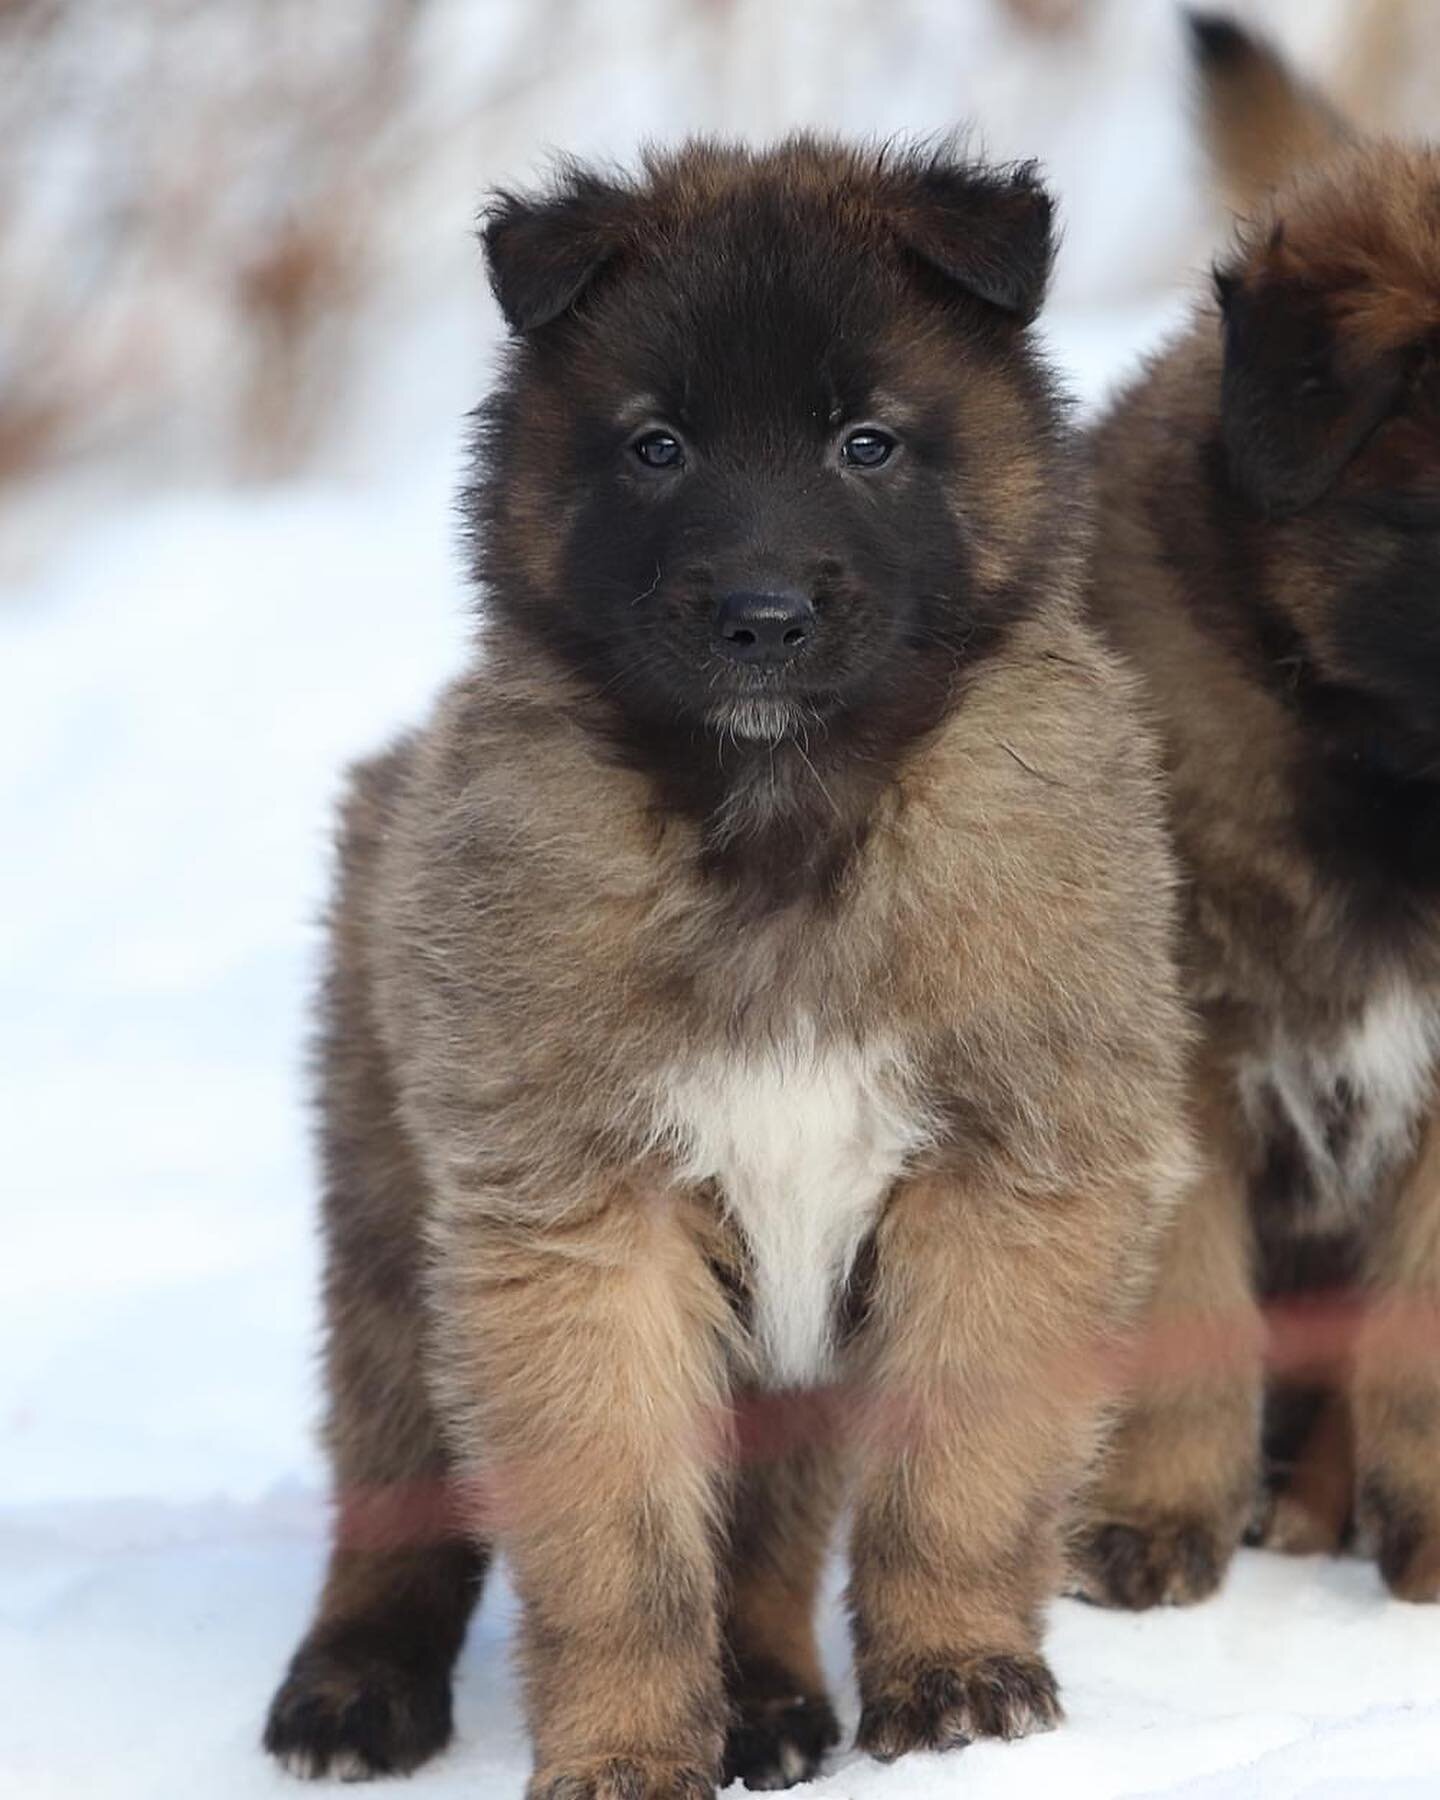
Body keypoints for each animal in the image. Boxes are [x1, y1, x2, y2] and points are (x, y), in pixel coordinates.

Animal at [264, 133, 1188, 1792]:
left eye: (868, 443)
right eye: (658, 448)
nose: (763, 618)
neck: (782, 823)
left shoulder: (1011, 1181)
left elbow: (952, 1472)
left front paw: (959, 1686)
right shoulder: (575, 1220)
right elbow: (619, 1538)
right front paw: (626, 1751)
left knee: (766, 1529)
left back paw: (766, 1696)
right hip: (384, 1203)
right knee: (391, 1469)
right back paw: (355, 1682)